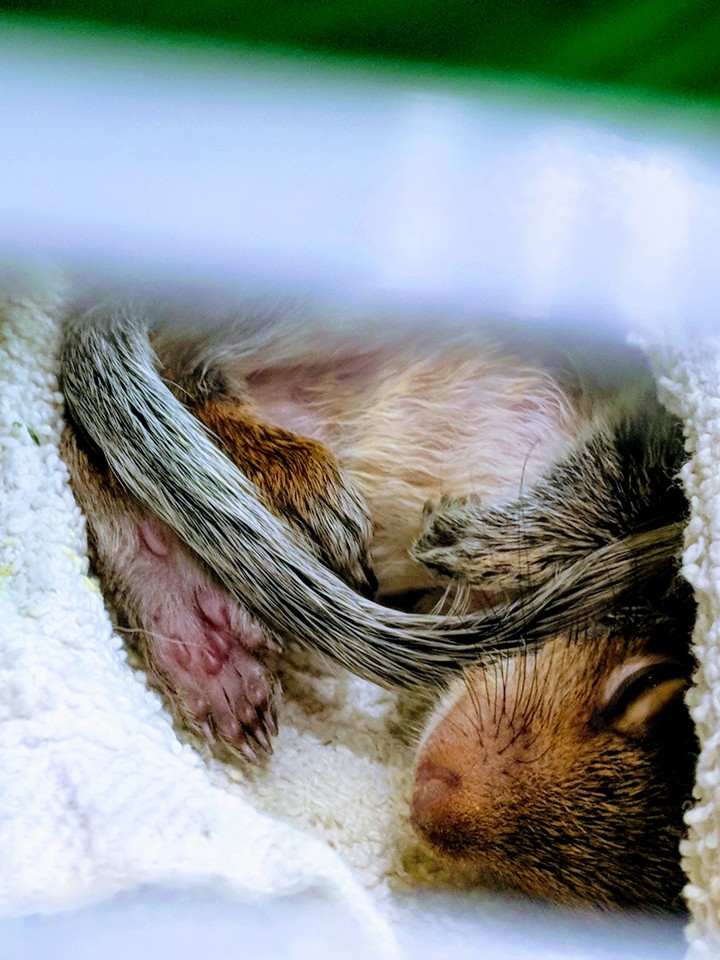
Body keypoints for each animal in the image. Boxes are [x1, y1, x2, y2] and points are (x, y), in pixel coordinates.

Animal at [59, 297, 695, 909]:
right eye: (645, 685)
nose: (429, 803)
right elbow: (629, 481)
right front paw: (476, 540)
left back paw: (201, 640)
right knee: (185, 375)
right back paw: (294, 489)